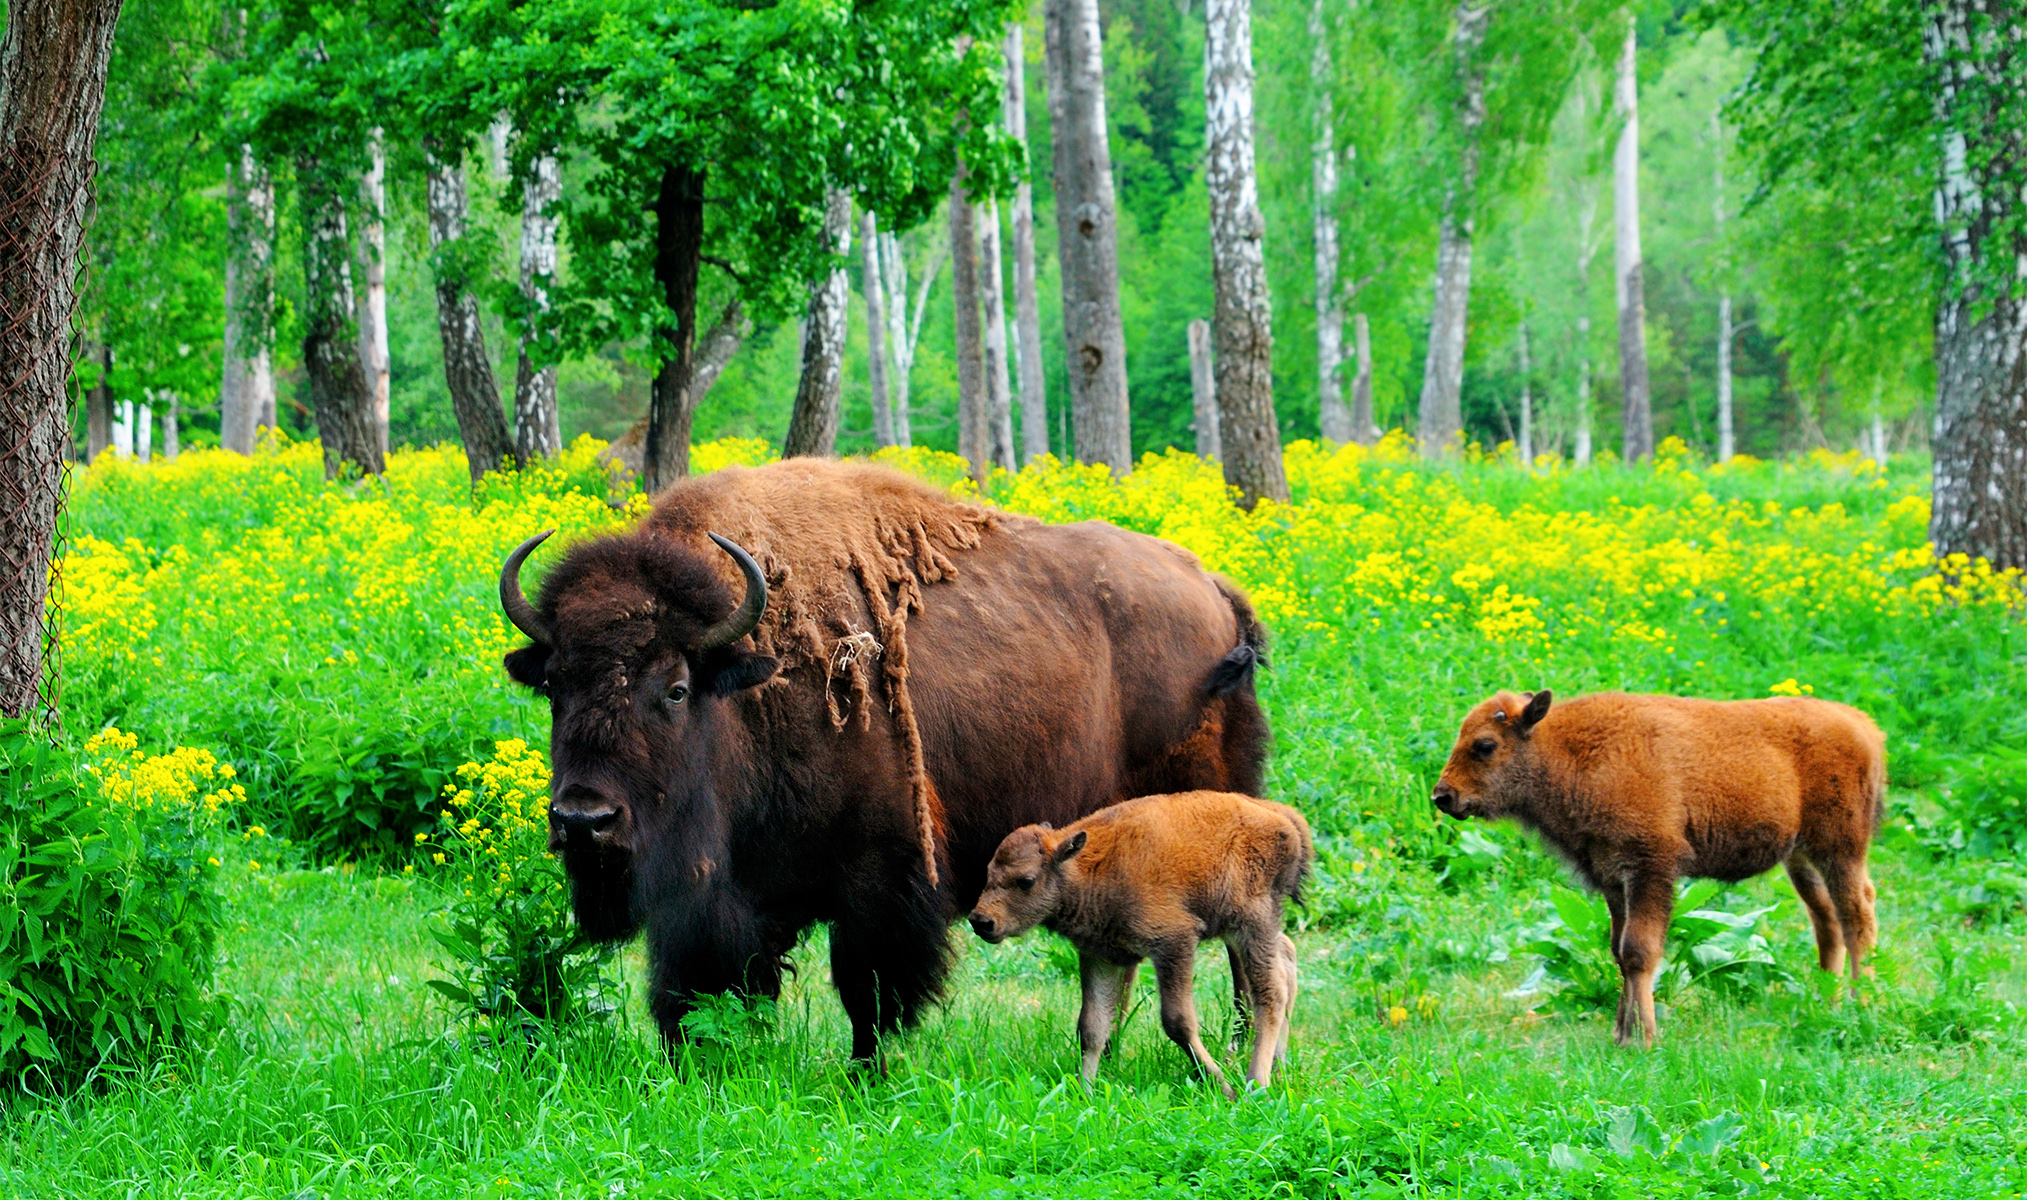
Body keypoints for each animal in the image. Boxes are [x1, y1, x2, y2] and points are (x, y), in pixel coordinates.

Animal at [498, 454, 1264, 1054]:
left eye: (677, 688)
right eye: (555, 685)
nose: (583, 821)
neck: (752, 684)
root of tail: (1213, 588)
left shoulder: (883, 881)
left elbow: (868, 994)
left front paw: (866, 1078)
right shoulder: (714, 902)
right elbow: (697, 994)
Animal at [968, 790, 1313, 1094]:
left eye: (1026, 881)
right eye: (988, 872)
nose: (982, 921)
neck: (1085, 866)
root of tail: (1282, 816)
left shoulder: (1174, 944)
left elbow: (1177, 1021)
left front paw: (1222, 1087)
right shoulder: (1101, 956)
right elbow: (1091, 1027)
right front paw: (1084, 1092)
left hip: (1252, 923)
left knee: (1271, 993)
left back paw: (1257, 1083)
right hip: (1246, 928)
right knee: (1286, 958)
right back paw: (1278, 1067)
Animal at [1443, 689, 1881, 1045]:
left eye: (1485, 745)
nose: (1442, 796)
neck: (1567, 748)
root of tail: (1863, 724)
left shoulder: (1651, 869)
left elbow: (1639, 950)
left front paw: (1642, 1039)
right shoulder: (1613, 879)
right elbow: (1619, 952)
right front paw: (1621, 1034)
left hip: (1840, 849)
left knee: (1856, 914)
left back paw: (1862, 1003)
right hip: (1801, 857)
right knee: (1826, 920)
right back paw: (1827, 1002)